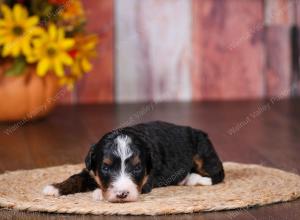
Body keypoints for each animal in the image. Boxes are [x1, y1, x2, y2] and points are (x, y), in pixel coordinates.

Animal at [43, 121, 224, 202]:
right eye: (106, 168)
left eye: (137, 168)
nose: (122, 194)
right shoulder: (91, 169)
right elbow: (76, 177)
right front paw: (55, 188)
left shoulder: (146, 181)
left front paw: (98, 192)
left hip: (202, 151)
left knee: (217, 174)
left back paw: (191, 179)